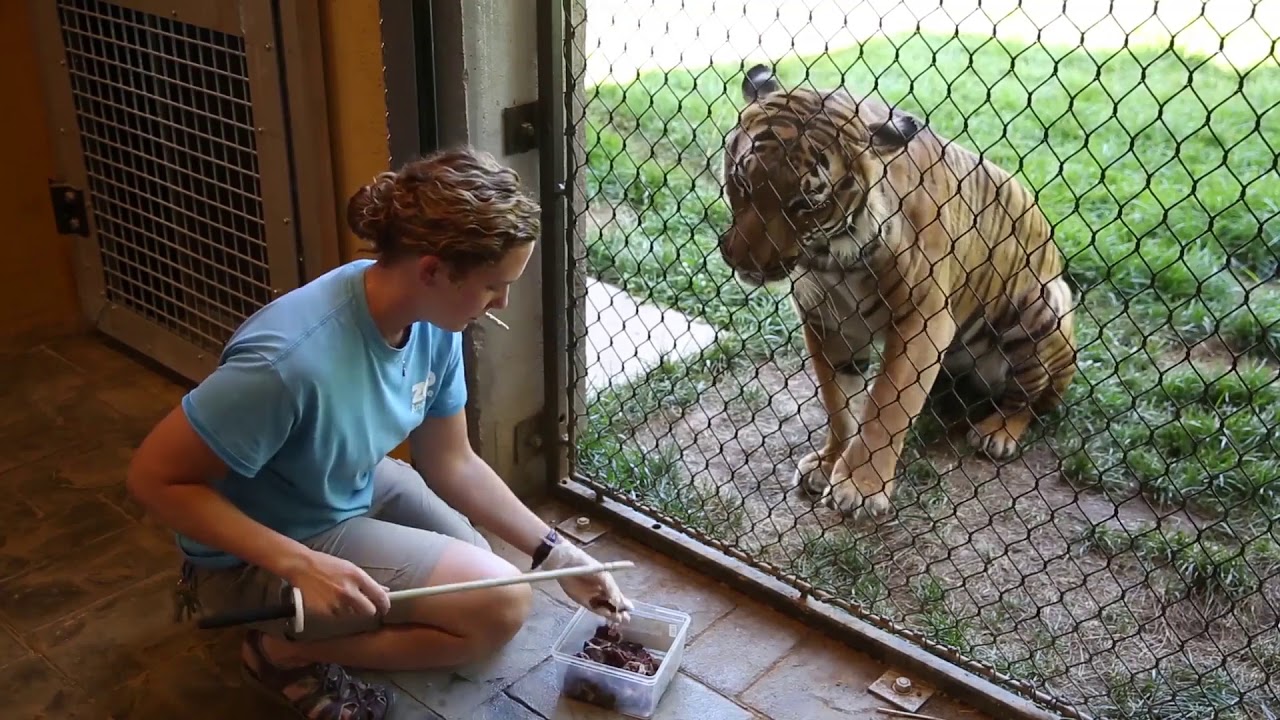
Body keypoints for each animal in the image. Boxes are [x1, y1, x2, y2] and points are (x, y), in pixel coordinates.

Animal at [716, 63, 1078, 519]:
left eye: (806, 204)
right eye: (742, 181)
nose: (743, 262)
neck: (830, 255)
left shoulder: (923, 321)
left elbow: (887, 405)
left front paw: (860, 488)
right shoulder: (826, 321)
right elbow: (840, 403)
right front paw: (829, 462)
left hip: (1041, 309)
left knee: (1029, 402)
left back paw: (996, 433)